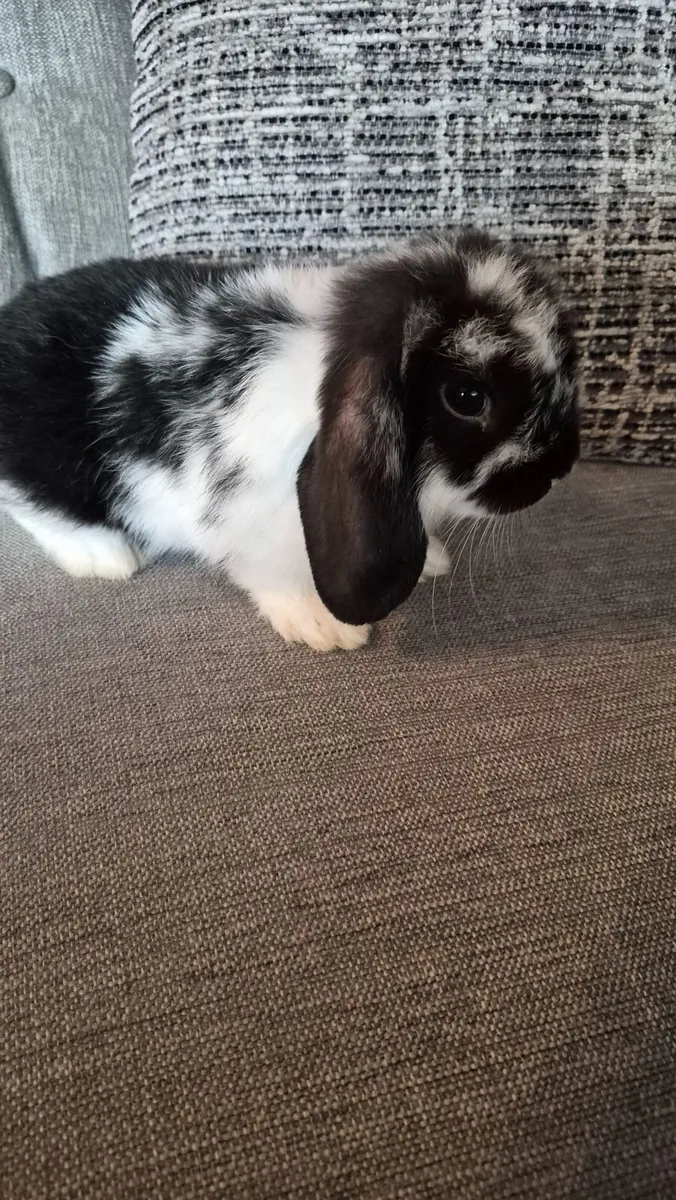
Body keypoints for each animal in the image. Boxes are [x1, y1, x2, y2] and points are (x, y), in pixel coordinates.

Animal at [0, 231, 579, 650]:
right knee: (29, 501)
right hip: (44, 456)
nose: (562, 465)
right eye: (467, 396)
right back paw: (104, 554)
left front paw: (430, 558)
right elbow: (274, 574)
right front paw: (324, 626)